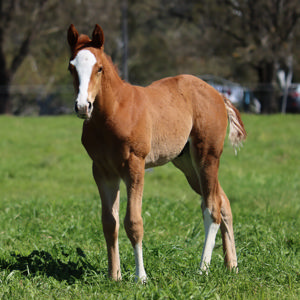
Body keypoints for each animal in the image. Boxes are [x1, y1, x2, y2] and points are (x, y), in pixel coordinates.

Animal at [67, 24, 246, 282]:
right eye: (71, 67)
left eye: (99, 68)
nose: (83, 106)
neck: (114, 112)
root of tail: (218, 94)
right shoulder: (102, 171)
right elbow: (109, 223)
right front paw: (114, 276)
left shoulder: (135, 166)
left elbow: (134, 222)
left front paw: (140, 277)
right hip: (187, 165)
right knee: (223, 201)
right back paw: (232, 265)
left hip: (207, 156)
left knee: (211, 207)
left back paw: (203, 268)